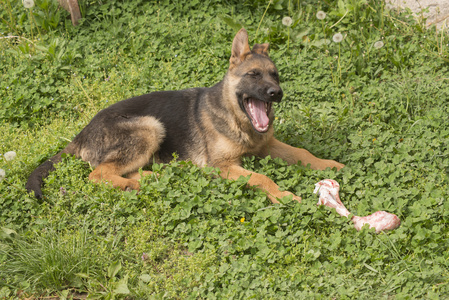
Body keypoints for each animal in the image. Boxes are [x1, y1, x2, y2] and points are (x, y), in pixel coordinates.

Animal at [26, 29, 344, 203]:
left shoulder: (267, 146)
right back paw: (135, 184)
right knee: (98, 174)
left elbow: (302, 153)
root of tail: (81, 133)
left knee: (119, 171)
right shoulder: (223, 166)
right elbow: (261, 178)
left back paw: (157, 177)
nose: (276, 93)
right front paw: (283, 195)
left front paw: (329, 164)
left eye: (275, 75)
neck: (236, 118)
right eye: (254, 75)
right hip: (149, 127)